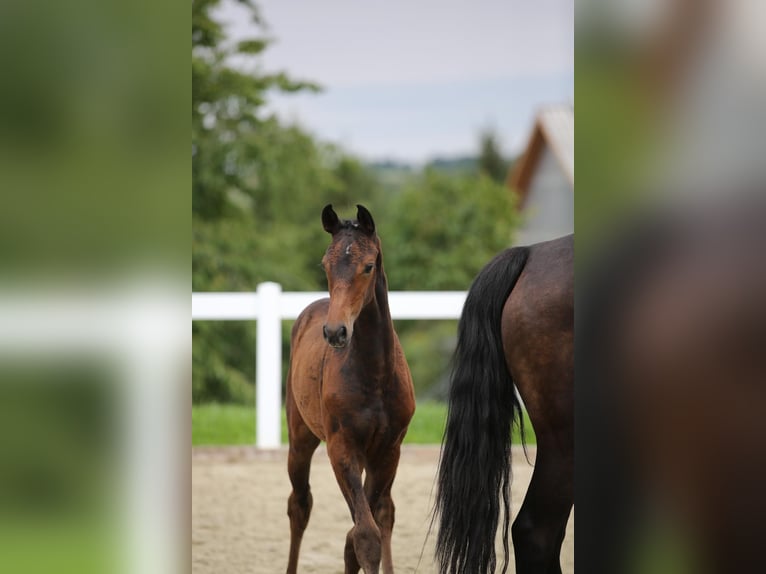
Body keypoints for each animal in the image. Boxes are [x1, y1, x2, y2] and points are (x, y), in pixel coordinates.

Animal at [285, 204, 416, 574]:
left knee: (384, 513)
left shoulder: (388, 450)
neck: (376, 374)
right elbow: (364, 536)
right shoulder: (342, 448)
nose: (335, 332)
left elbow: (365, 528)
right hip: (300, 439)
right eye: (325, 264)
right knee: (299, 505)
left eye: (368, 265)